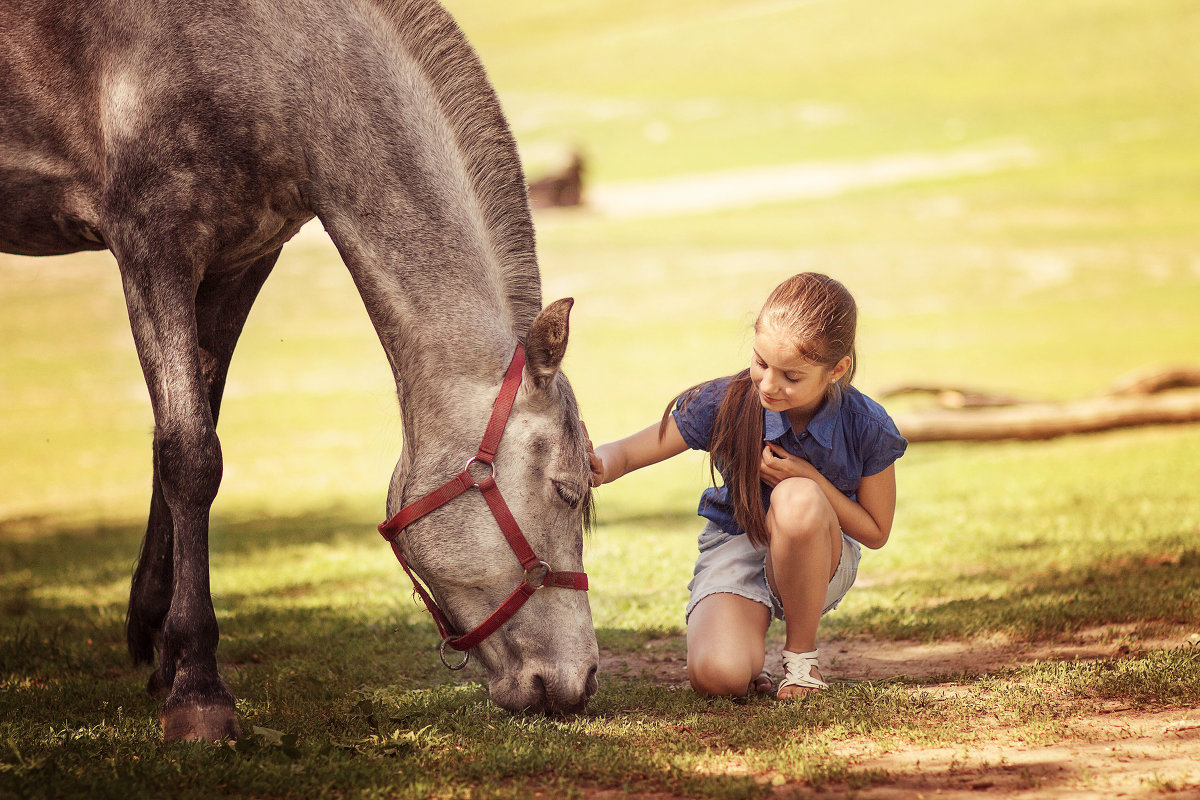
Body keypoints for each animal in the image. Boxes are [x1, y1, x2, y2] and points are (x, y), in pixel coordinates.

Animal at [0, 0, 600, 743]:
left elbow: (187, 435)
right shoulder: (151, 245)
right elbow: (190, 456)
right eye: (568, 492)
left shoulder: (239, 262)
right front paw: (198, 689)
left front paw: (163, 654)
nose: (582, 679)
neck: (273, 61)